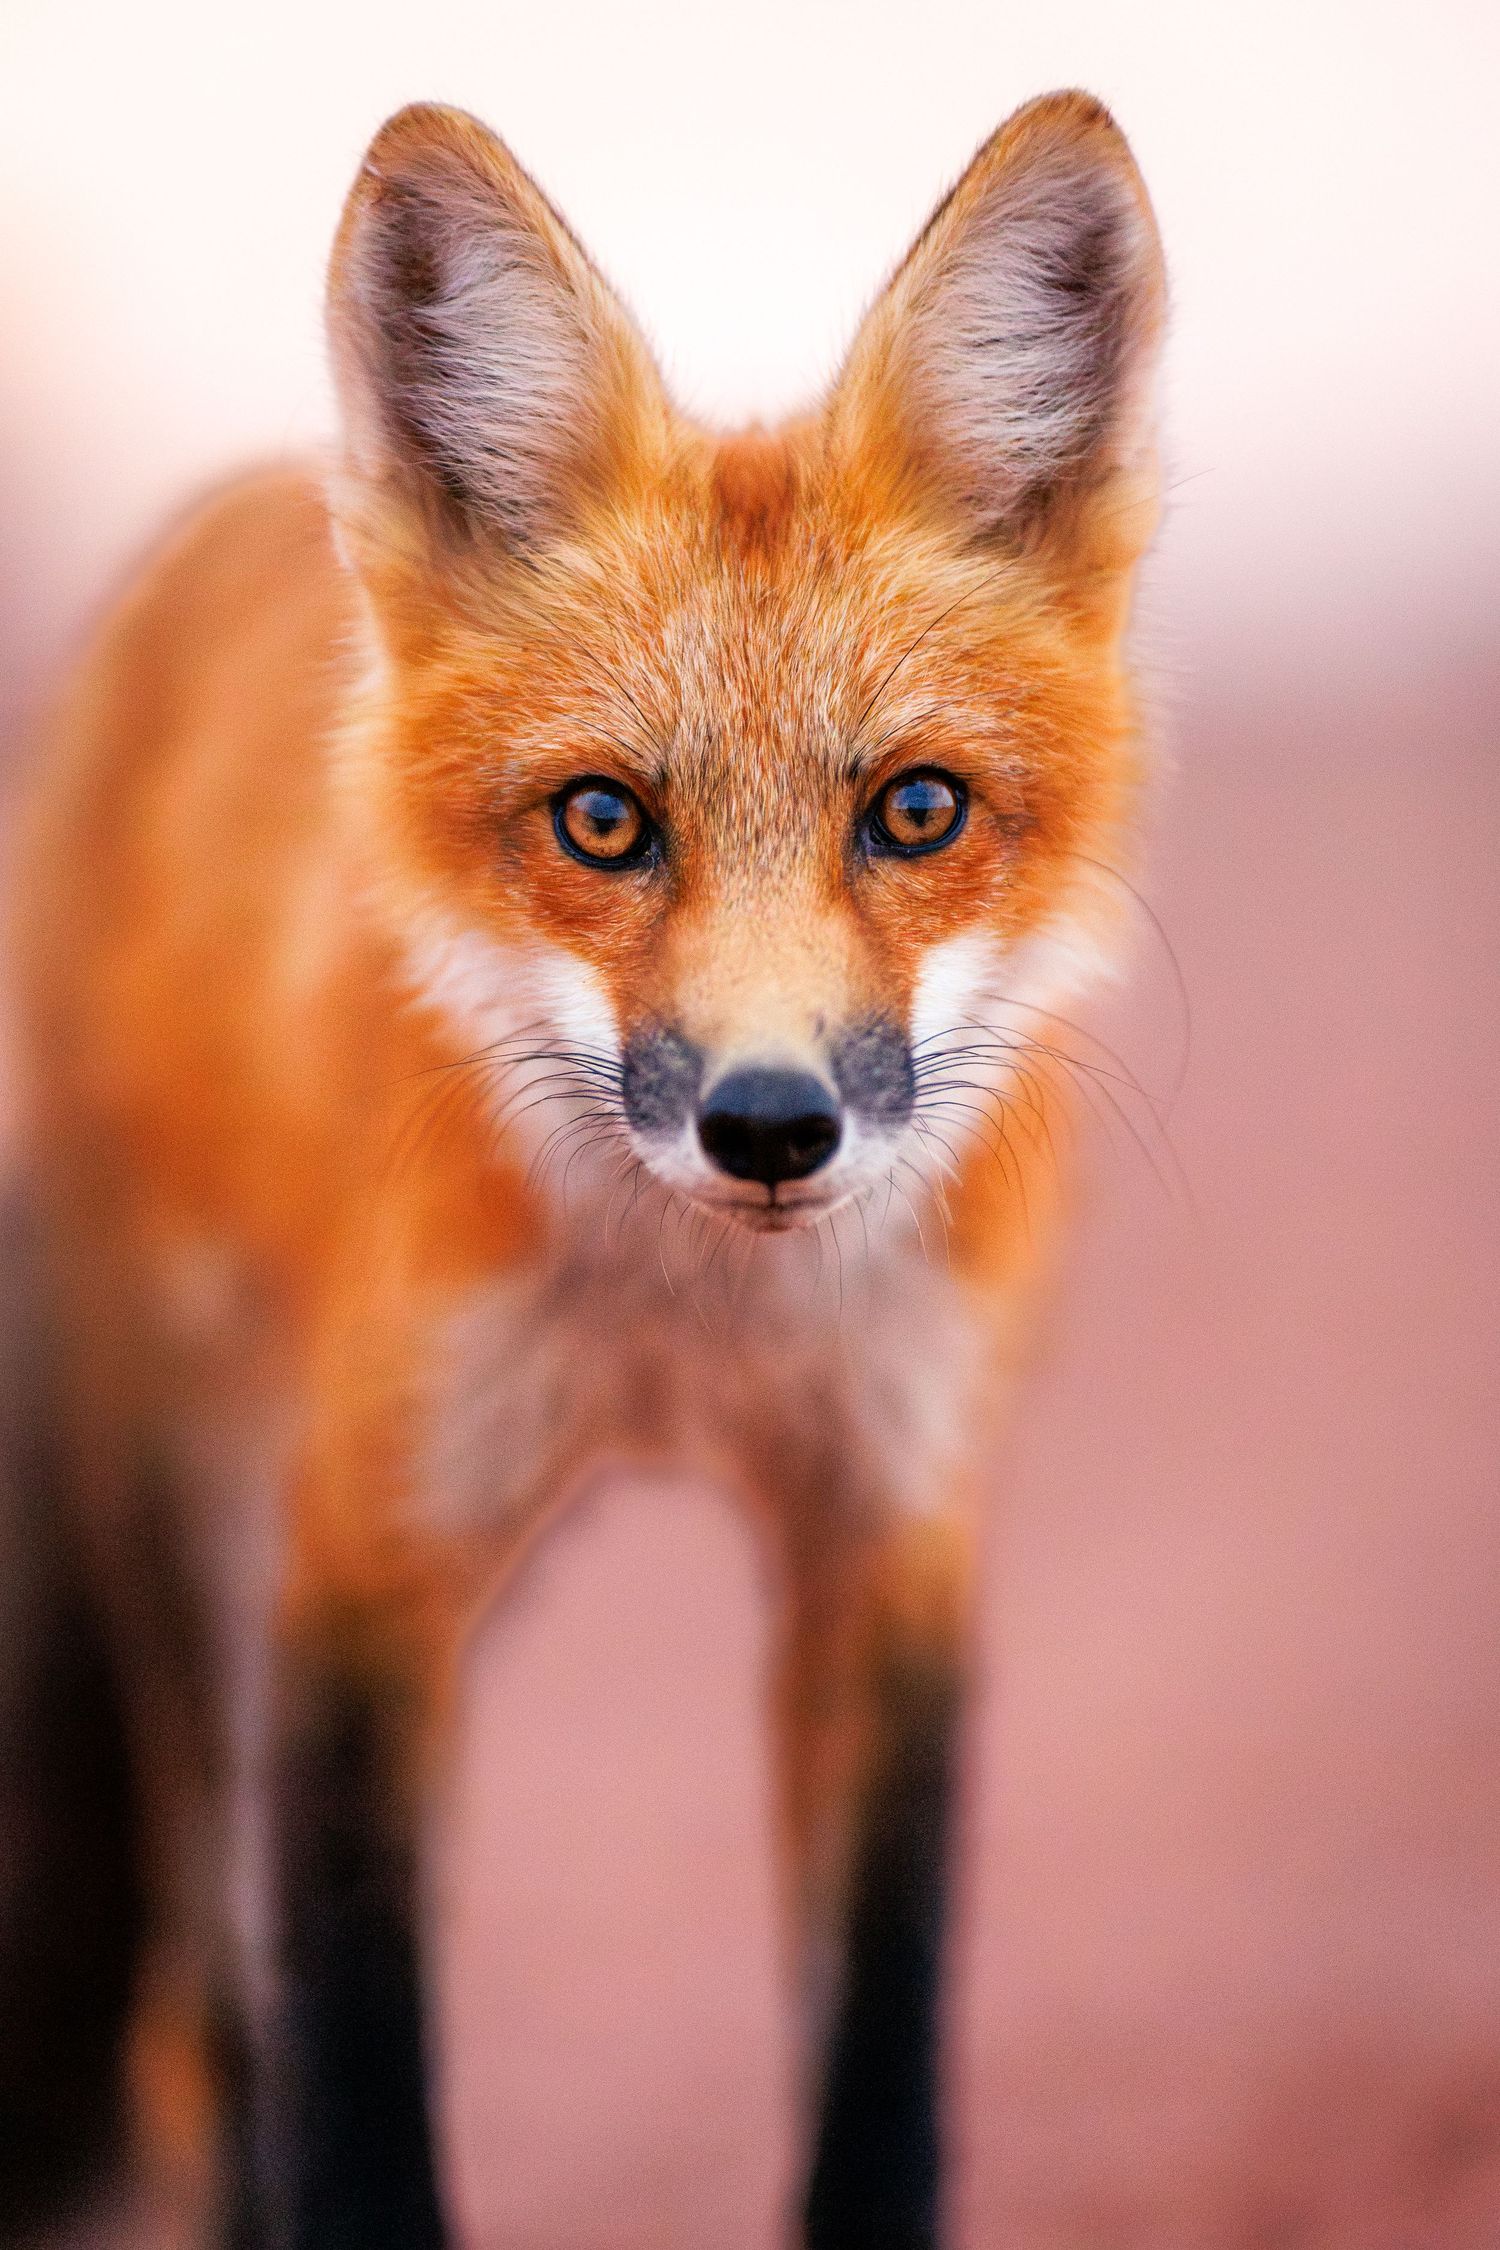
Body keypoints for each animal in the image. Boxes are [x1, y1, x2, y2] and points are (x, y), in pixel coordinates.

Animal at [9, 87, 1166, 2250]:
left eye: (917, 812)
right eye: (606, 821)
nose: (771, 1122)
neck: (687, 1336)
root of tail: (218, 515)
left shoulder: (885, 1538)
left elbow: (879, 2073)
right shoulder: (362, 1564)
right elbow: (354, 2085)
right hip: (195, 1532)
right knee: (202, 2016)